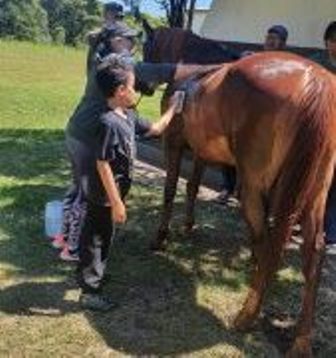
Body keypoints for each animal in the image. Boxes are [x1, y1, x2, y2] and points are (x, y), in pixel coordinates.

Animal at [142, 25, 336, 358]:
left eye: (146, 46)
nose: (142, 84)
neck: (195, 76)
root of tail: (316, 80)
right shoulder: (202, 151)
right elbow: (192, 187)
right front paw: (189, 226)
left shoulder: (175, 144)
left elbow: (170, 190)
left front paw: (161, 237)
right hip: (314, 194)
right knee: (313, 254)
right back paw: (301, 339)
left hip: (256, 186)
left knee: (269, 242)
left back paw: (248, 314)